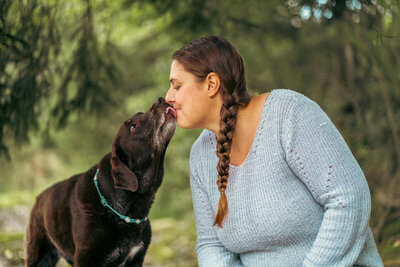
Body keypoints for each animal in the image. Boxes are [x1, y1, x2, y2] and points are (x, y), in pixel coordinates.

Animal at [25, 97, 175, 266]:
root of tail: (38, 198)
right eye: (132, 127)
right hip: (39, 255)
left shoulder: (136, 258)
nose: (160, 99)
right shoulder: (86, 258)